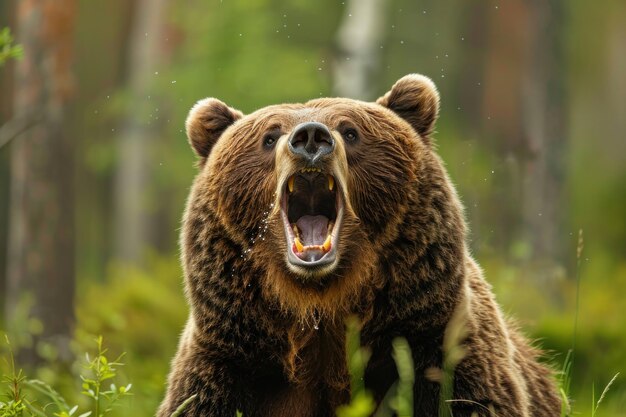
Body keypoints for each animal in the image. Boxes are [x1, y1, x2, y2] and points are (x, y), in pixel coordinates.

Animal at [157, 75, 560, 416]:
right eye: (269, 138)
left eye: (350, 132)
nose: (310, 137)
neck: (321, 309)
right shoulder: (230, 364)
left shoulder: (437, 347)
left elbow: (469, 398)